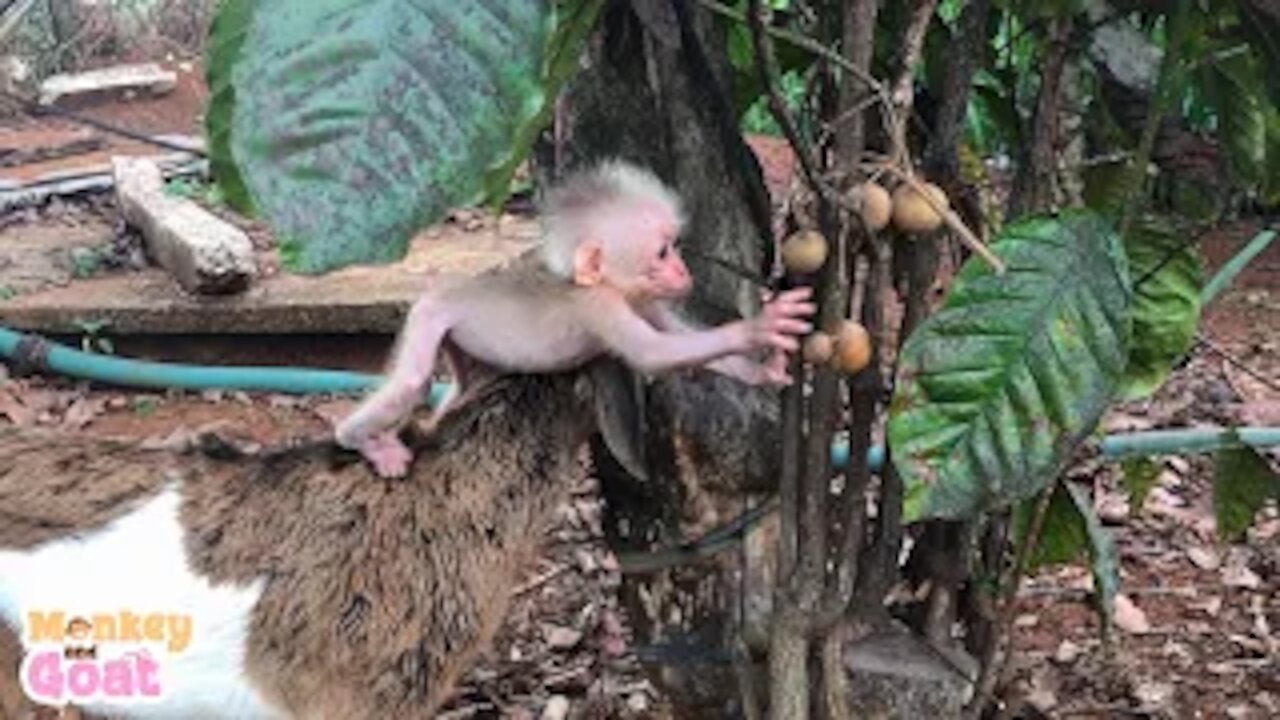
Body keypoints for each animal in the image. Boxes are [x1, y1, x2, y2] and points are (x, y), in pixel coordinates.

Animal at [335, 158, 814, 474]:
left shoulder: (647, 300)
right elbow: (652, 353)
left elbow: (676, 334)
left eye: (675, 247)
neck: (613, 287)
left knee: (458, 385)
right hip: (430, 316)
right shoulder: (600, 307)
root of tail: (442, 291)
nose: (683, 271)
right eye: (662, 253)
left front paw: (760, 369)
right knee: (413, 383)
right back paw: (357, 438)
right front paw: (758, 328)